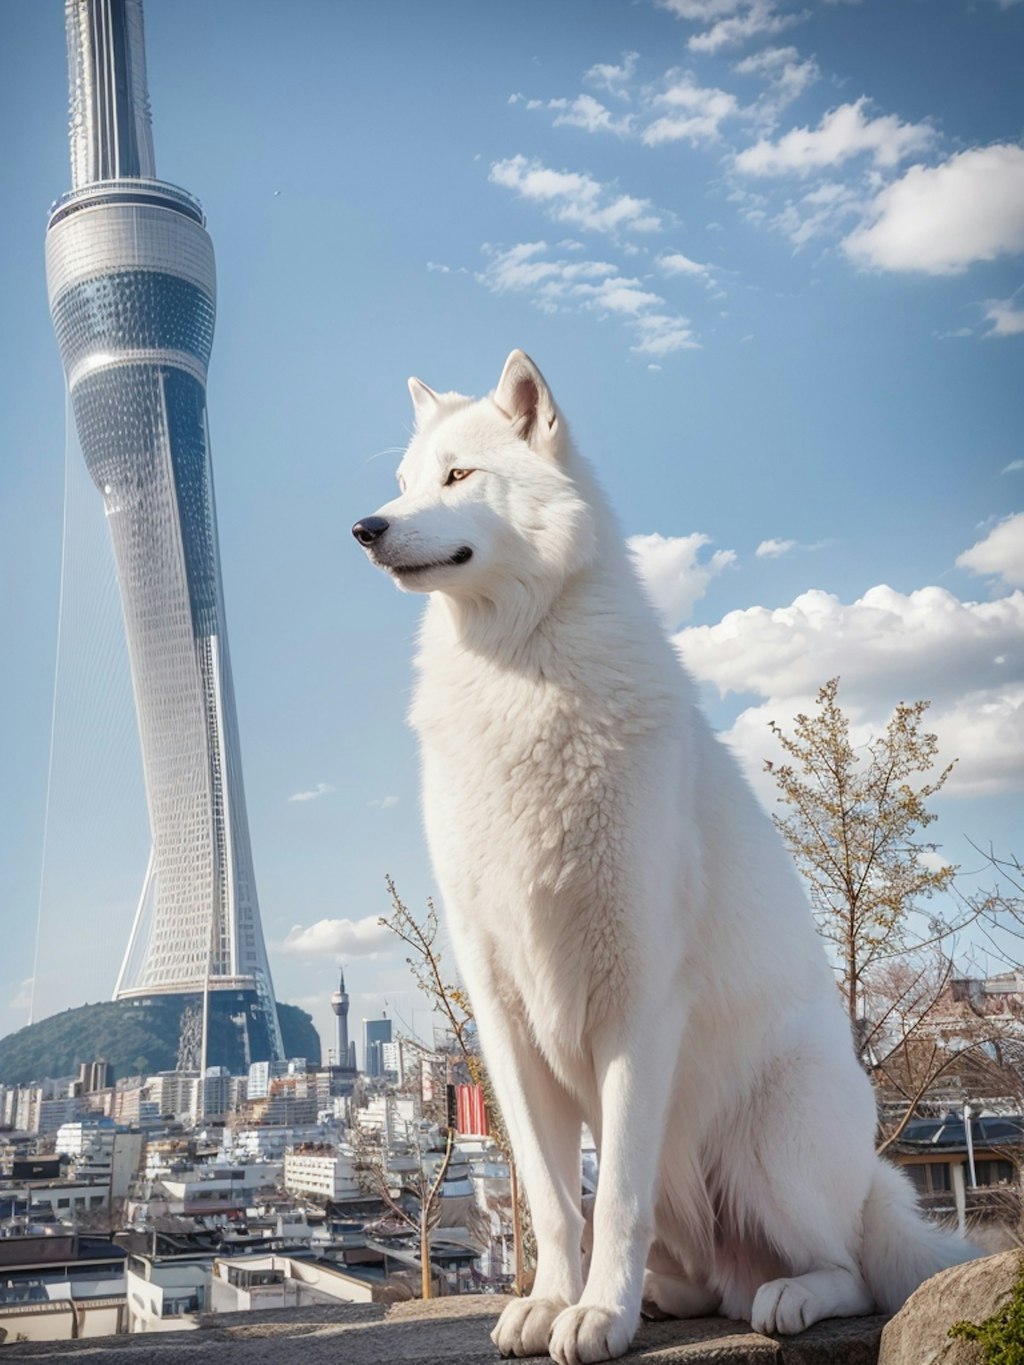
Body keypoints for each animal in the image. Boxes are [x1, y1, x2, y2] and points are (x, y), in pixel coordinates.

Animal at [354, 354, 977, 1365]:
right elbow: (560, 1202)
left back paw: (783, 1296)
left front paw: (598, 1317)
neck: (519, 669)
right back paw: (663, 1295)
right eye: (406, 480)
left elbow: (619, 1199)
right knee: (707, 1273)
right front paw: (555, 1302)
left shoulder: (638, 1004)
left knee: (844, 1264)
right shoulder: (504, 1022)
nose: (366, 527)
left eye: (457, 476)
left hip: (771, 1150)